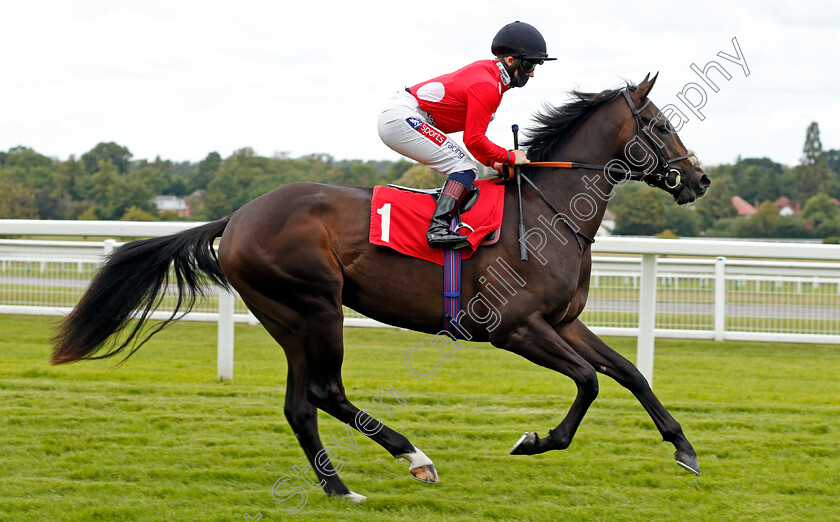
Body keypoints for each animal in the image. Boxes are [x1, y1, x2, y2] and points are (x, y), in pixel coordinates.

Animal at [50, 73, 708, 500]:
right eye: (659, 125)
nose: (699, 180)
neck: (550, 212)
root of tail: (236, 217)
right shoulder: (515, 327)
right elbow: (589, 380)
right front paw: (535, 440)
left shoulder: (563, 321)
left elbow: (629, 372)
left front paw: (684, 448)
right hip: (317, 306)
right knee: (327, 390)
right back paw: (415, 458)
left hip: (286, 319)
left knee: (301, 404)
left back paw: (338, 486)